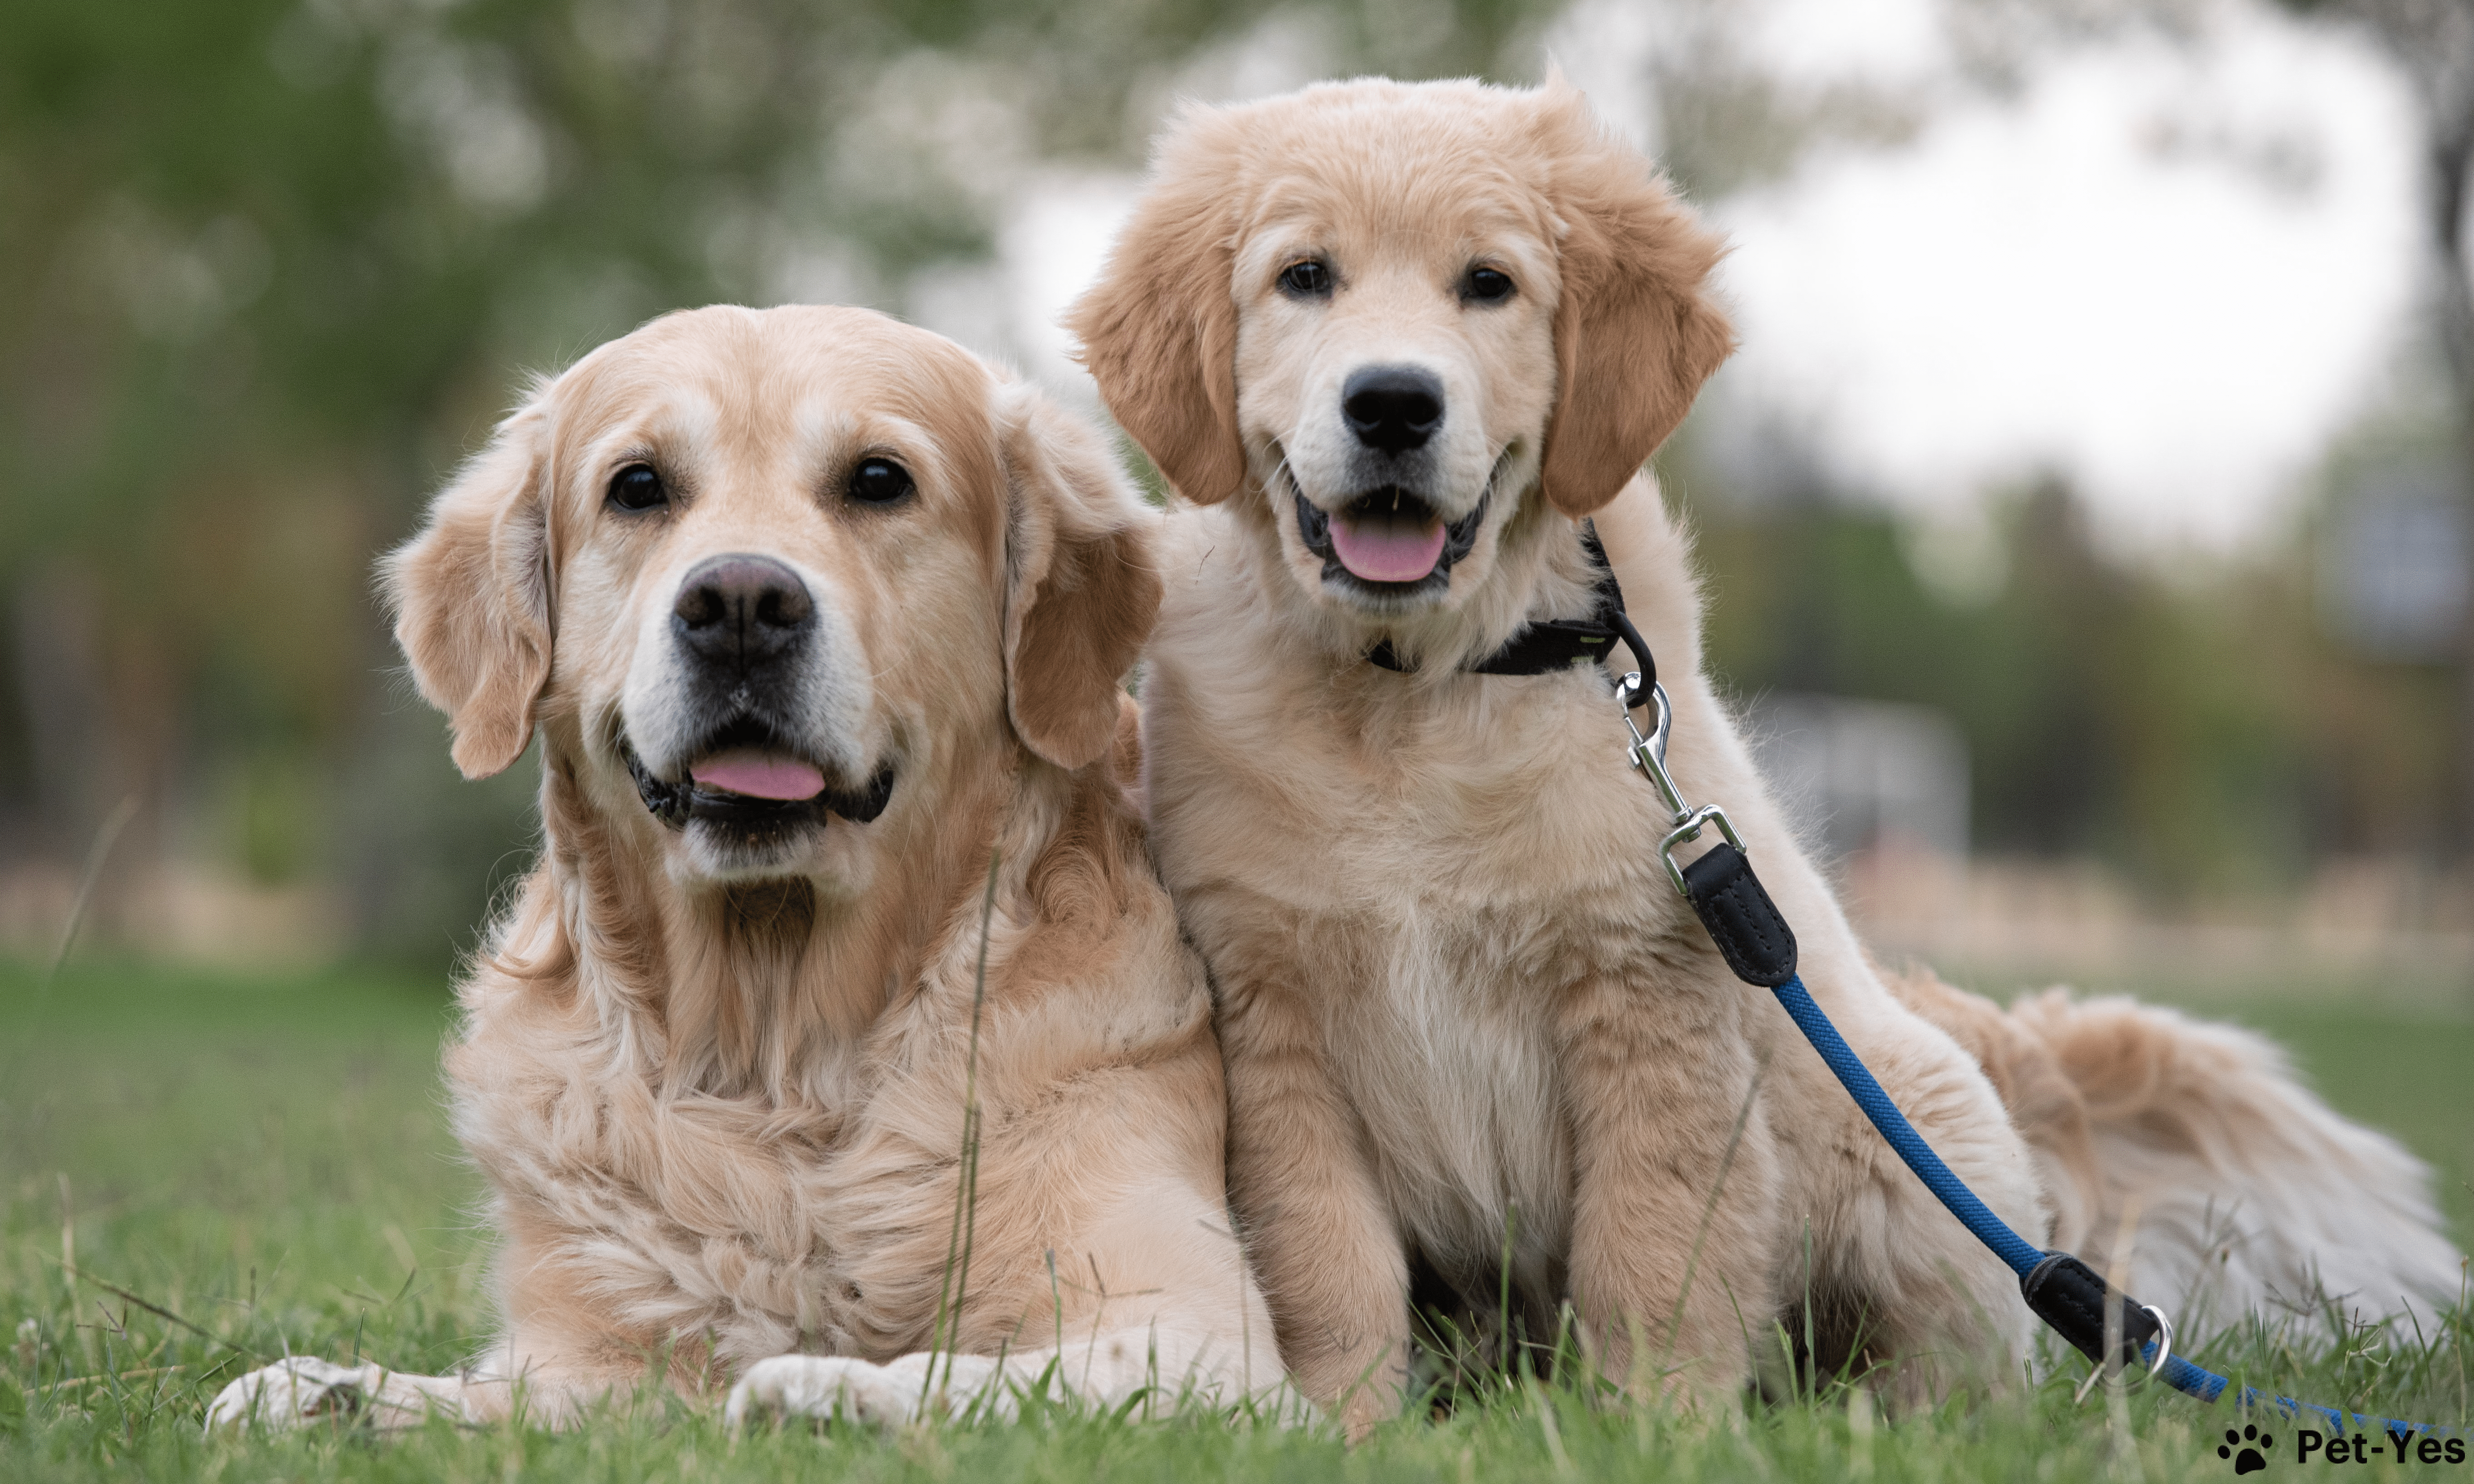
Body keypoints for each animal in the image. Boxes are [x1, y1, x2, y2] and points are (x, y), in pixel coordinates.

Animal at [208, 307, 1276, 1434]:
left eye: (879, 479)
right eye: (637, 486)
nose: (739, 604)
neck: (778, 1059)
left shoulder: (1203, 1335)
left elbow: (973, 1375)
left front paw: (819, 1382)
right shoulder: (581, 1357)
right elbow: (486, 1400)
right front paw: (322, 1387)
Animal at [1058, 75, 2454, 1434]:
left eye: (1488, 284)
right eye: (1303, 277)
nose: (1393, 403)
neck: (1419, 692)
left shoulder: (1652, 1001)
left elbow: (1654, 1247)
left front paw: (1652, 1431)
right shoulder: (1274, 1021)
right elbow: (1326, 1267)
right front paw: (1343, 1427)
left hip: (1901, 1131)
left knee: (1985, 1354)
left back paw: (1891, 1424)